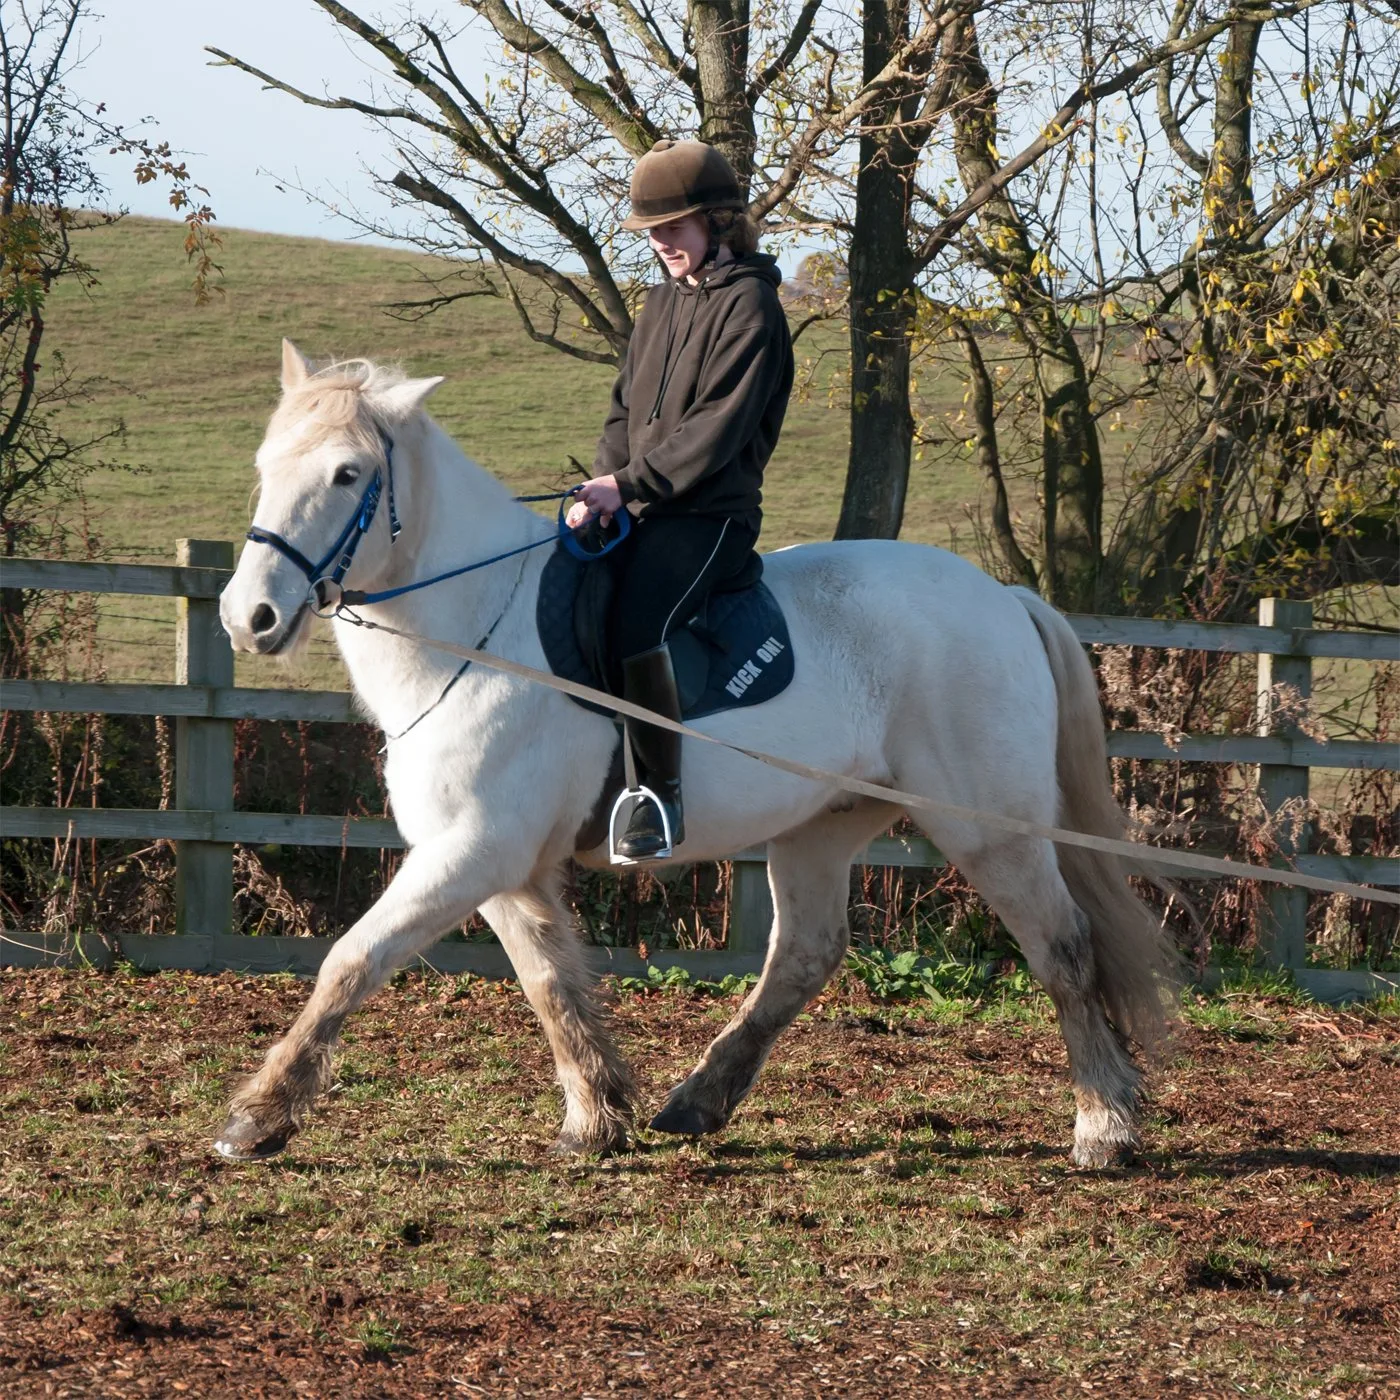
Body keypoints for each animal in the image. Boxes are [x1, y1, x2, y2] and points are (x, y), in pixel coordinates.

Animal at [215, 341, 1181, 1170]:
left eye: (348, 474)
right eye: (263, 466)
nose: (249, 618)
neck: (474, 629)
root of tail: (1005, 597)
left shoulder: (470, 852)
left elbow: (351, 960)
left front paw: (257, 1117)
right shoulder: (500, 863)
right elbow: (551, 983)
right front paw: (597, 1115)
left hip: (994, 831)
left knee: (1061, 947)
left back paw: (1103, 1126)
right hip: (823, 826)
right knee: (804, 954)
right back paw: (697, 1101)